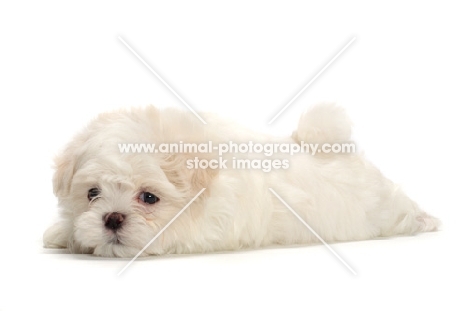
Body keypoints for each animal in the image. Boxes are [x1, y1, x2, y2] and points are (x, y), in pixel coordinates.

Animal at [43, 103, 438, 258]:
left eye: (149, 198)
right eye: (92, 193)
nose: (112, 218)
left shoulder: (209, 229)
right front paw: (63, 234)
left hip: (379, 208)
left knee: (400, 211)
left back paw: (426, 220)